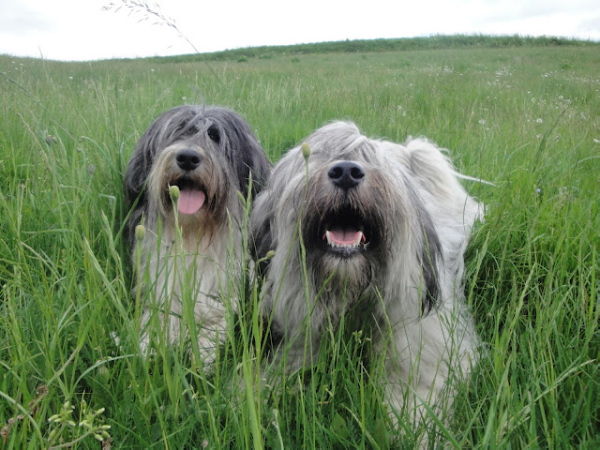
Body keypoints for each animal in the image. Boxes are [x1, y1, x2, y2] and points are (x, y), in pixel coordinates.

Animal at [124, 105, 269, 363]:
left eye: (215, 136)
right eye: (178, 131)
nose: (187, 157)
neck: (194, 231)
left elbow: (216, 315)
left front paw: (203, 351)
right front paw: (148, 343)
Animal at [251, 121, 482, 425]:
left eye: (371, 159)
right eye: (318, 157)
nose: (346, 171)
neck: (353, 293)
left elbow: (417, 389)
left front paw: (414, 424)